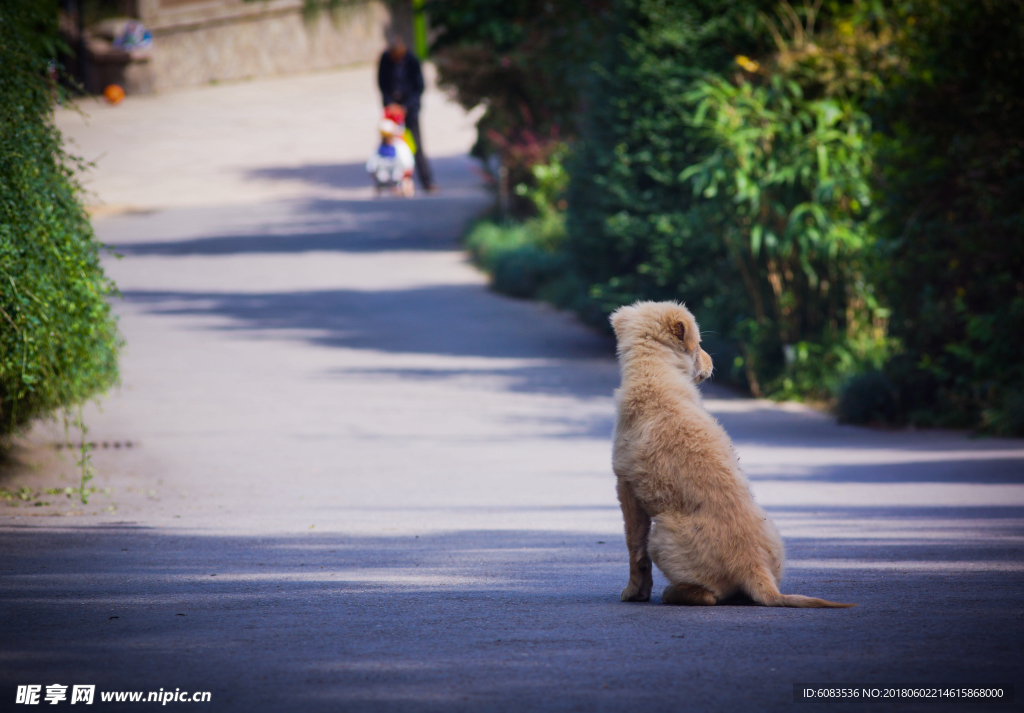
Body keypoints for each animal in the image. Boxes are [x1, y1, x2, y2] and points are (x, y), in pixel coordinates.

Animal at [606, 301, 856, 606]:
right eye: (699, 345)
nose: (713, 362)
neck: (655, 372)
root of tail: (753, 567)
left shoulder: (626, 486)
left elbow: (635, 548)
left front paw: (634, 593)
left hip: (662, 533)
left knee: (707, 596)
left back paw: (672, 592)